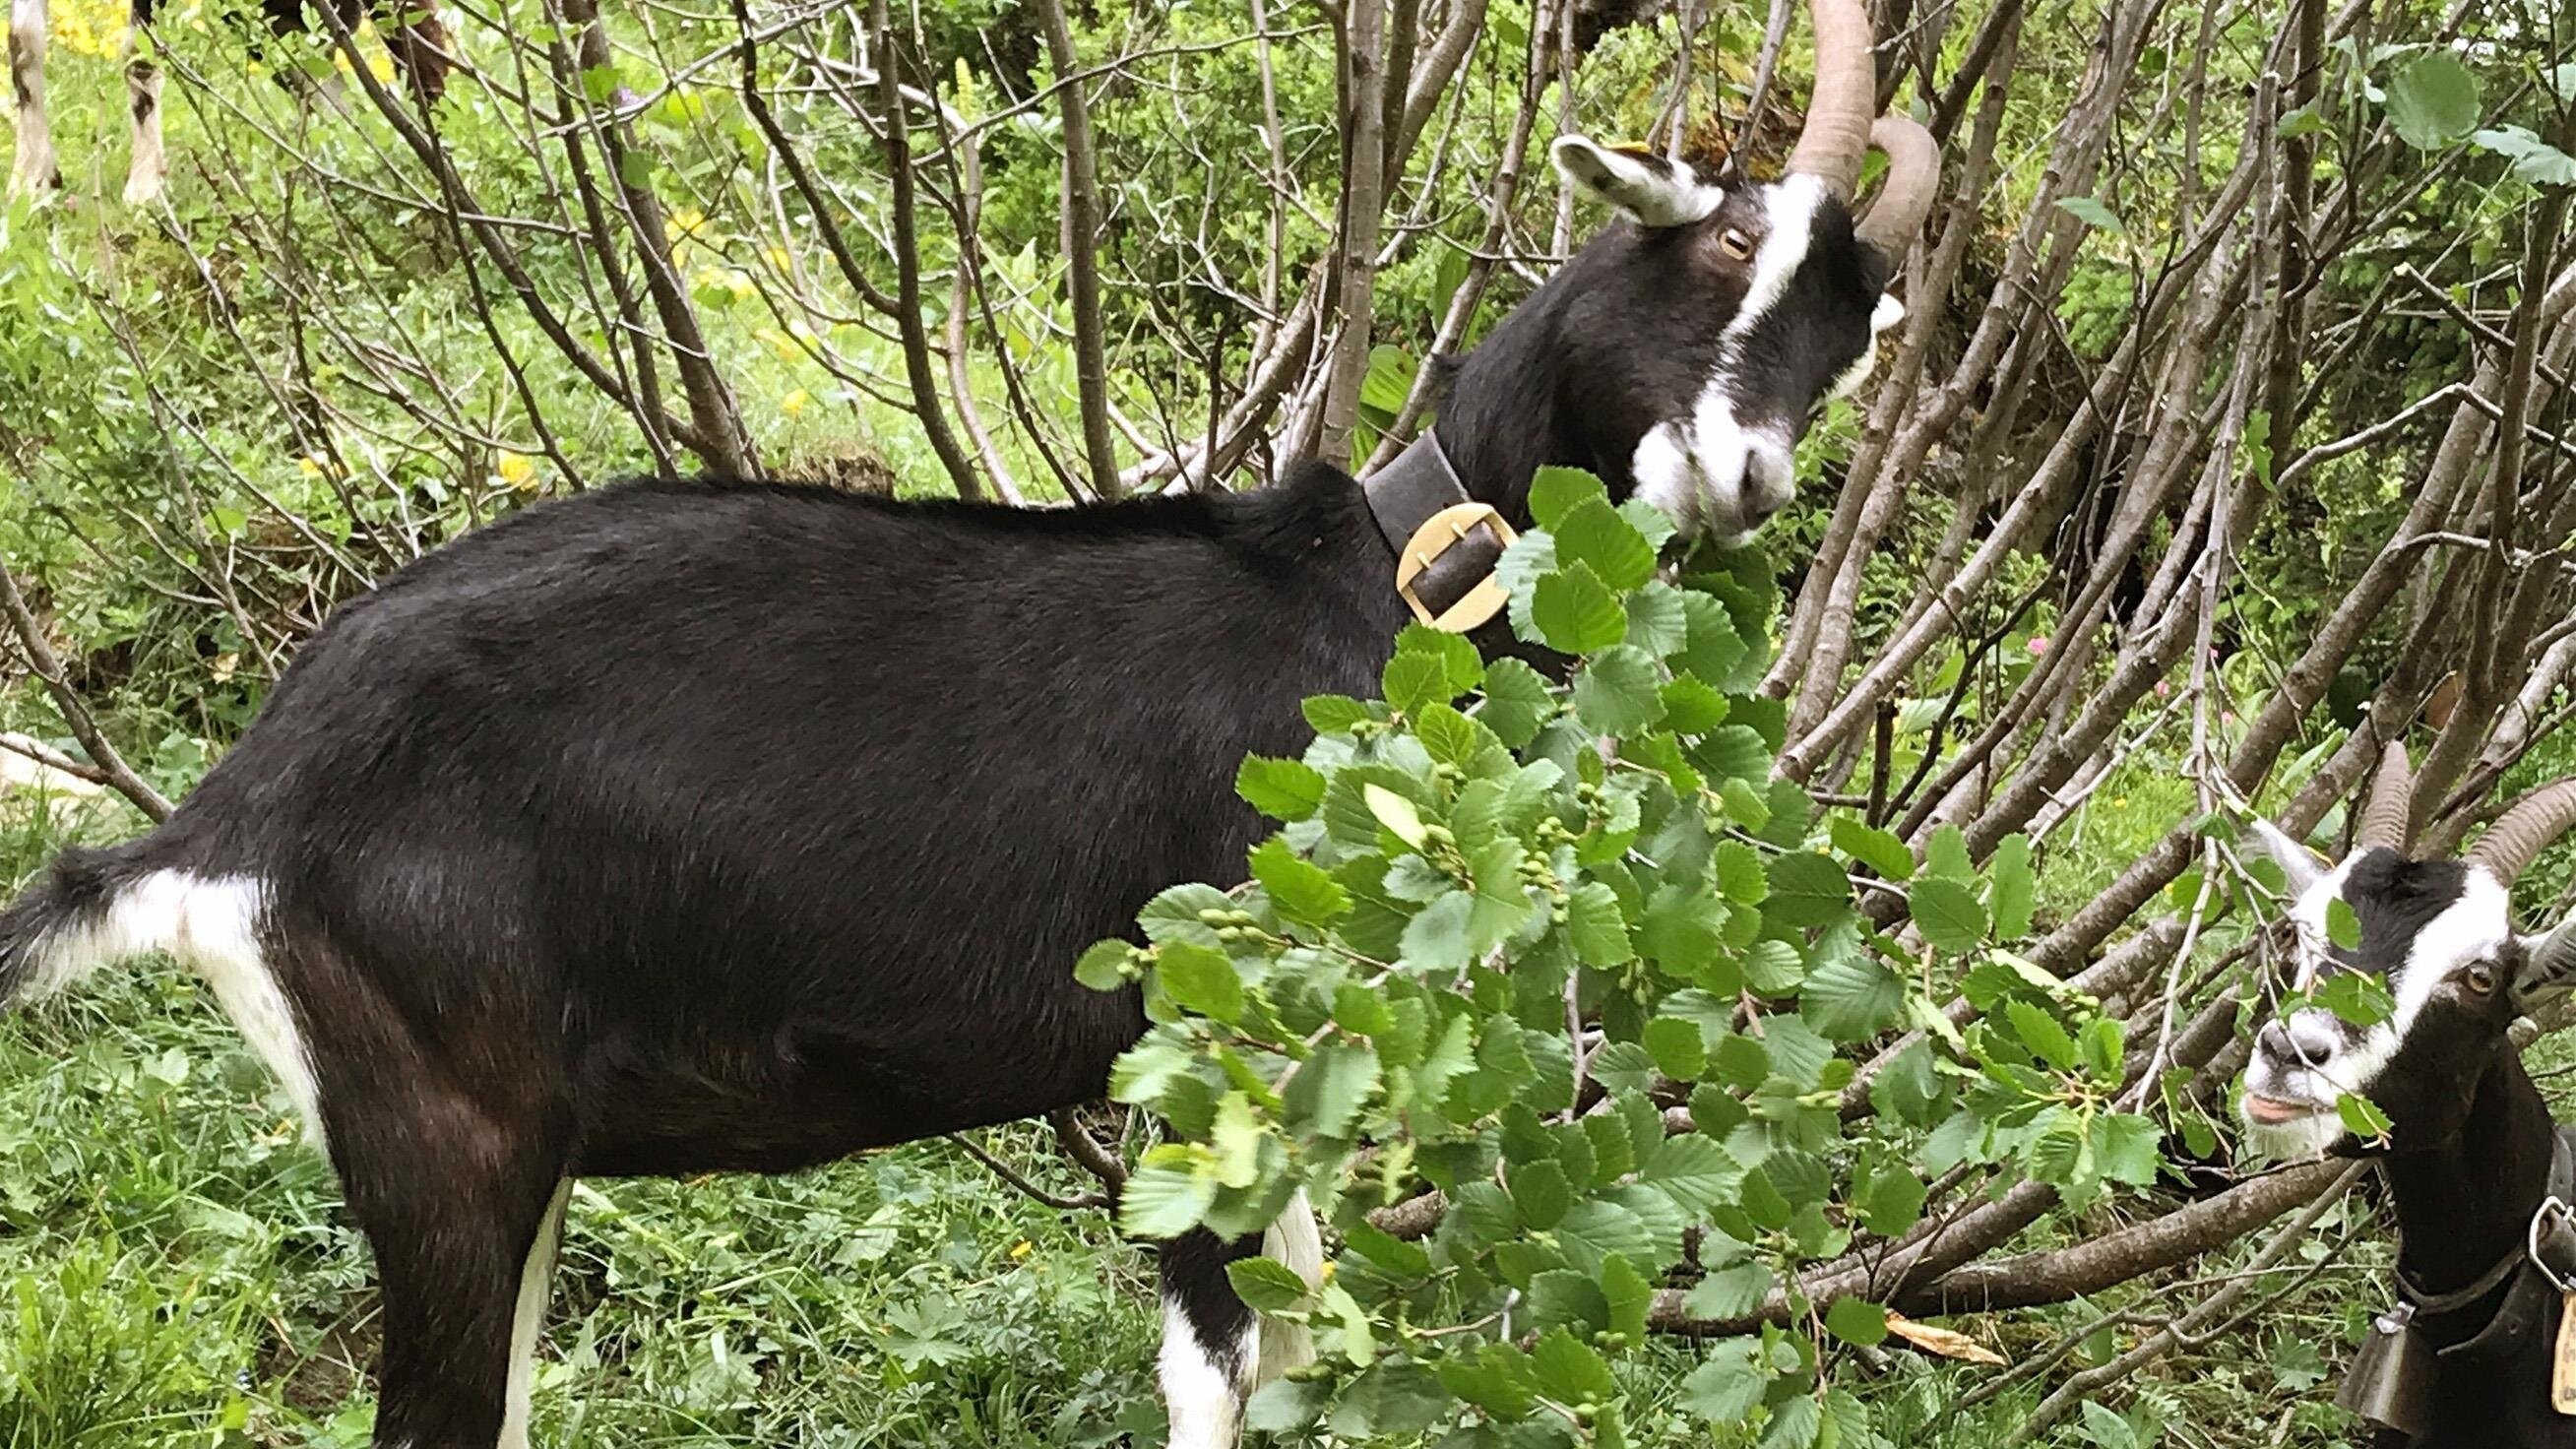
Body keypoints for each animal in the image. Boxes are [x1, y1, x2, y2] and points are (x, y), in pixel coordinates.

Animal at [0, 5, 1936, 1433]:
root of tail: (231, 813)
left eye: (1850, 341)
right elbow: (1222, 1373)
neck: (1364, 596)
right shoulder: (1193, 1042)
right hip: (445, 1129)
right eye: (1717, 253)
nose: (1746, 475)